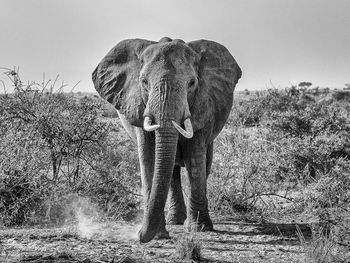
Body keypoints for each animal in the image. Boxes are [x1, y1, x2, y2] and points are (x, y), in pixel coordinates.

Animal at [91, 37, 242, 243]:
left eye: (192, 83)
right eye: (144, 82)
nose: (139, 235)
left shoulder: (203, 104)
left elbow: (195, 158)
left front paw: (200, 229)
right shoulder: (138, 106)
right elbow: (149, 158)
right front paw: (159, 235)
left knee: (204, 164)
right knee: (172, 171)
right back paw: (175, 221)